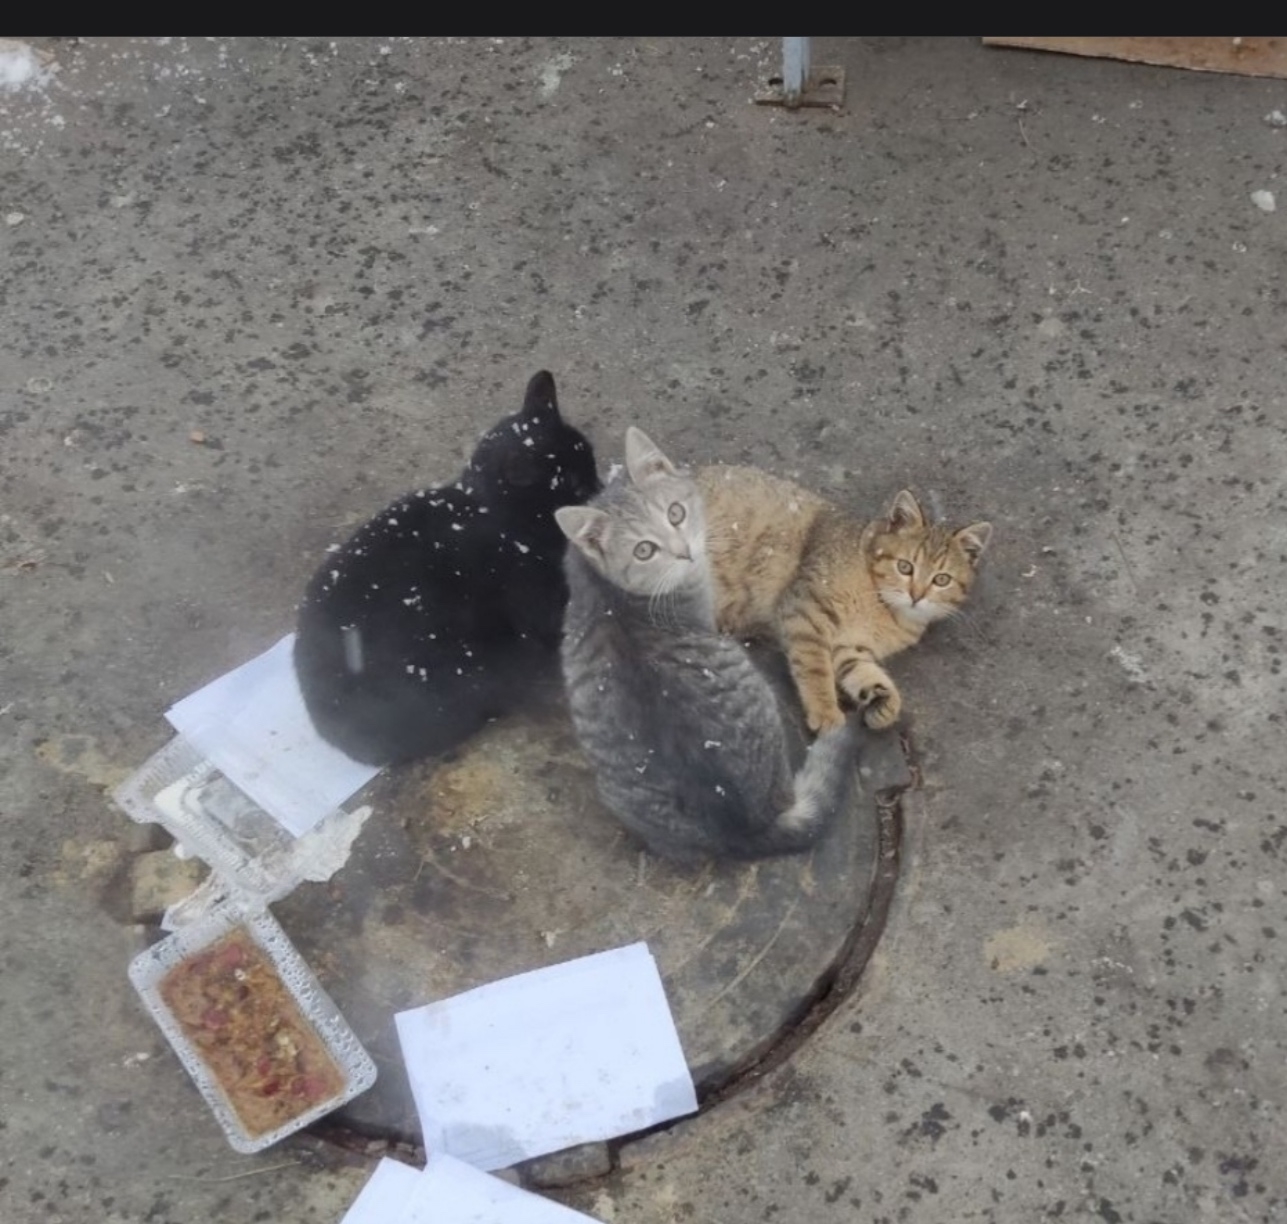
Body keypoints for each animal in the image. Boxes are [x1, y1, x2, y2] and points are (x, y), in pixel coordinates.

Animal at [694, 464, 992, 734]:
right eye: (905, 567)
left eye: (941, 580)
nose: (916, 596)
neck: (884, 609)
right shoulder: (804, 612)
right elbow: (814, 667)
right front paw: (825, 711)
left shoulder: (849, 647)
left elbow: (865, 674)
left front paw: (885, 701)